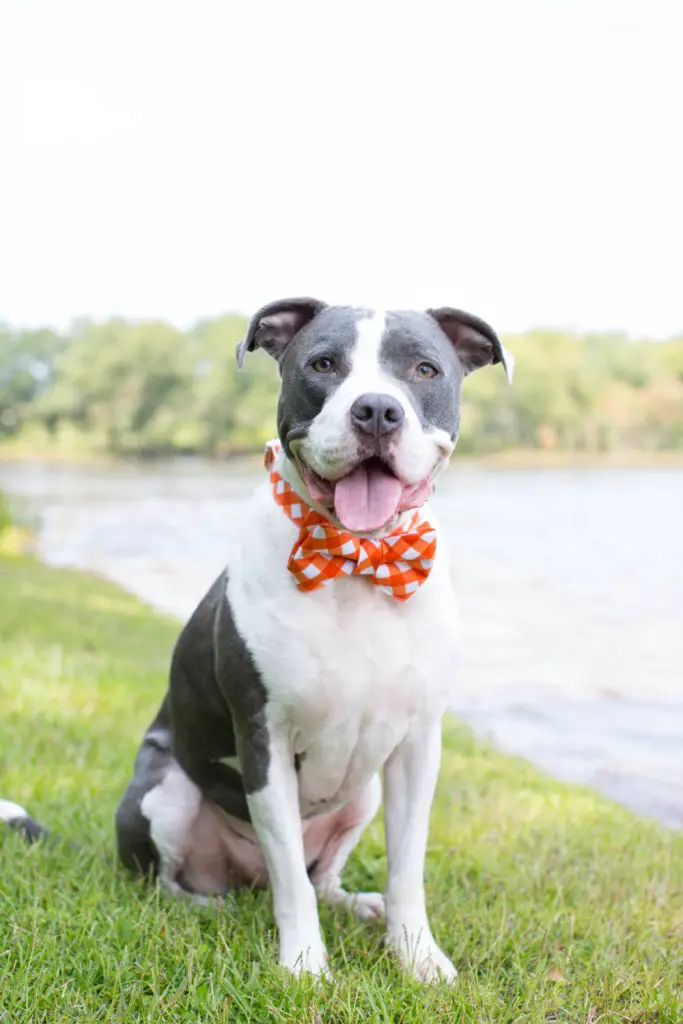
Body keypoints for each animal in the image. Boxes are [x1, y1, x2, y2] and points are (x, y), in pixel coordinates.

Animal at [1, 301, 511, 983]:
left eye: (425, 369)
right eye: (323, 363)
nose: (377, 409)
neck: (356, 559)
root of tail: (241, 879)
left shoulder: (417, 744)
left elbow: (406, 868)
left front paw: (417, 956)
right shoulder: (263, 737)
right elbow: (289, 875)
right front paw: (304, 965)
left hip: (363, 796)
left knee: (323, 880)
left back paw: (357, 904)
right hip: (164, 790)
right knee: (177, 884)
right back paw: (210, 909)